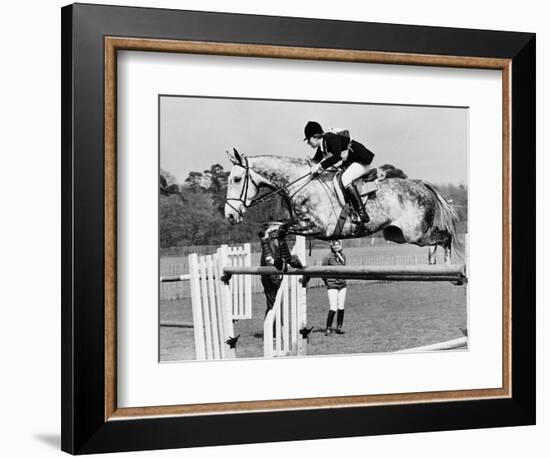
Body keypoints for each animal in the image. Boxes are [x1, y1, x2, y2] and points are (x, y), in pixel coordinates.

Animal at [226, 148, 464, 266]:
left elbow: (281, 230)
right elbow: (267, 228)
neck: (302, 183)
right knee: (437, 241)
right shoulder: (299, 222)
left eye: (236, 179)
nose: (229, 215)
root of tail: (420, 184)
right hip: (397, 234)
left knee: (445, 238)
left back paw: (448, 266)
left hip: (415, 233)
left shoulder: (317, 228)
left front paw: (284, 259)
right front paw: (273, 259)